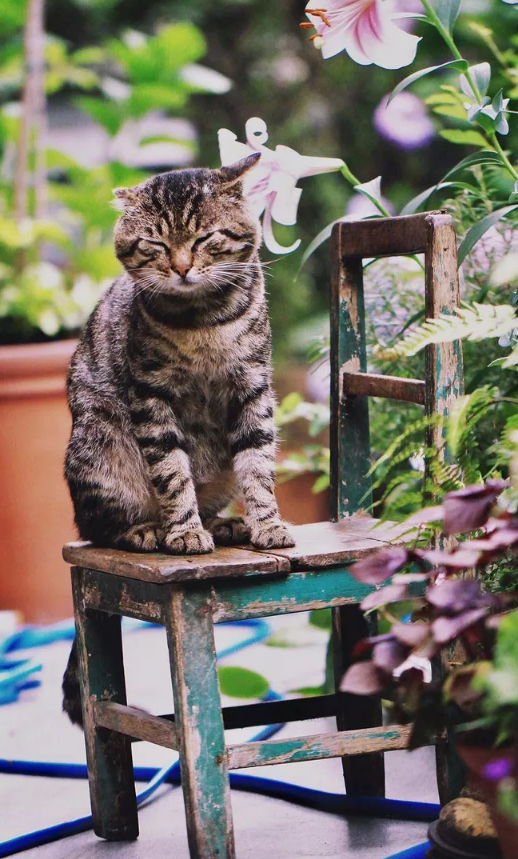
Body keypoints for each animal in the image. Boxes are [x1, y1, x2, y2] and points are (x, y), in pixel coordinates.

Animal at [61, 155, 294, 724]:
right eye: (155, 244)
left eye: (205, 238)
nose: (183, 267)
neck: (203, 320)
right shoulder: (152, 398)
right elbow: (171, 475)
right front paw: (184, 531)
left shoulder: (253, 389)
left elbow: (259, 466)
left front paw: (267, 522)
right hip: (99, 451)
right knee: (98, 528)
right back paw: (151, 530)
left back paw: (228, 525)